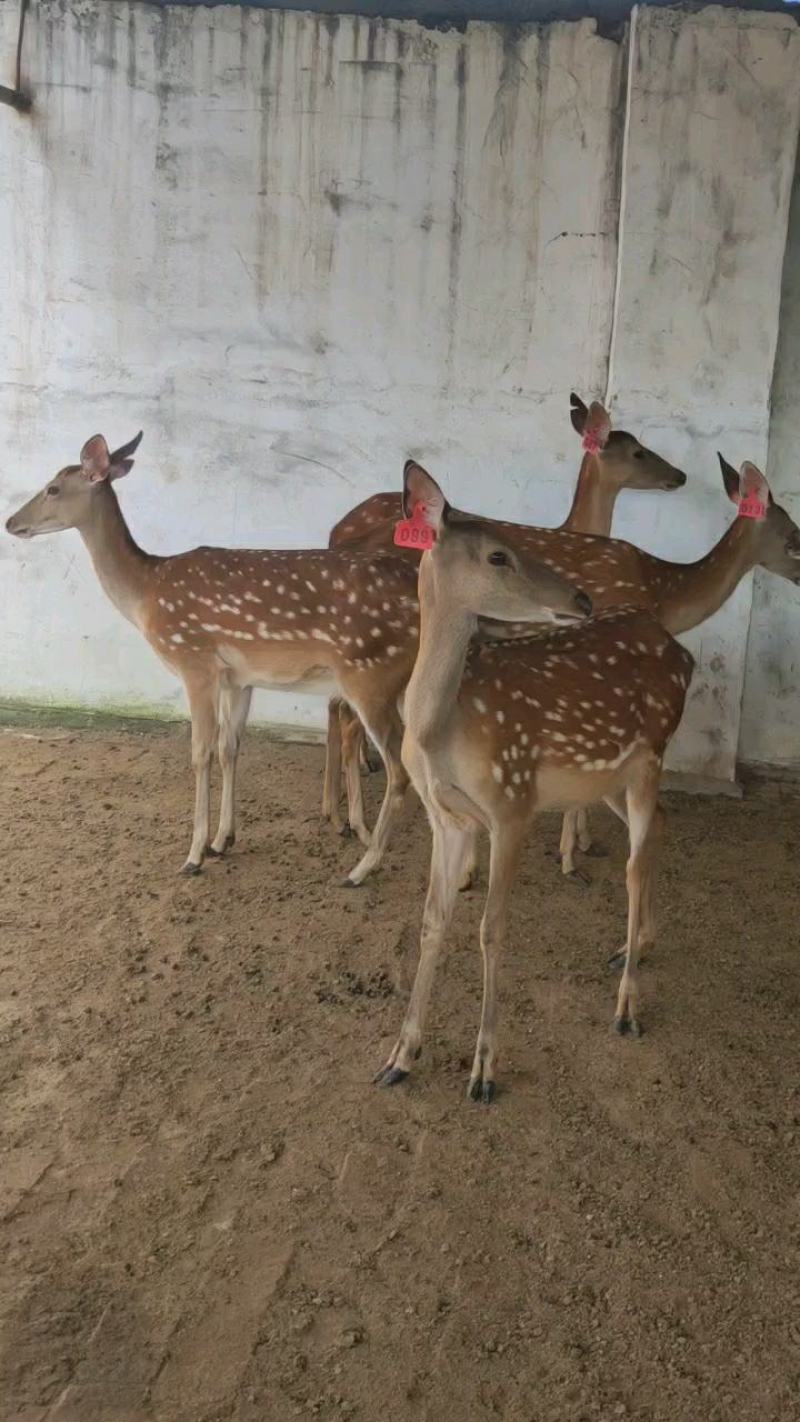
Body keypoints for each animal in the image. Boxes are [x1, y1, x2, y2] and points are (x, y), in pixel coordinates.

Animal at [5, 432, 588, 883]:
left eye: (53, 487)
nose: (12, 523)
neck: (146, 595)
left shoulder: (195, 661)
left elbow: (198, 752)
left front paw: (192, 855)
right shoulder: (239, 677)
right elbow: (230, 748)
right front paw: (223, 839)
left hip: (371, 676)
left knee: (399, 766)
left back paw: (364, 867)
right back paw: (461, 873)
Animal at [323, 394, 687, 859]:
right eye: (638, 450)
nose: (679, 476)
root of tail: (337, 533)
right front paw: (576, 845)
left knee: (337, 708)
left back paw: (338, 812)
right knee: (349, 715)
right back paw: (353, 822)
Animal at [374, 461, 695, 1103]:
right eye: (498, 554)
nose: (582, 597)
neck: (440, 733)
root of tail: (685, 655)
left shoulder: (512, 803)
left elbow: (491, 930)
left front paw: (483, 1071)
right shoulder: (447, 817)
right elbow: (431, 921)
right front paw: (401, 1056)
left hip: (650, 755)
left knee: (634, 862)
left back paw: (627, 1005)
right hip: (607, 779)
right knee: (657, 829)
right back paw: (638, 945)